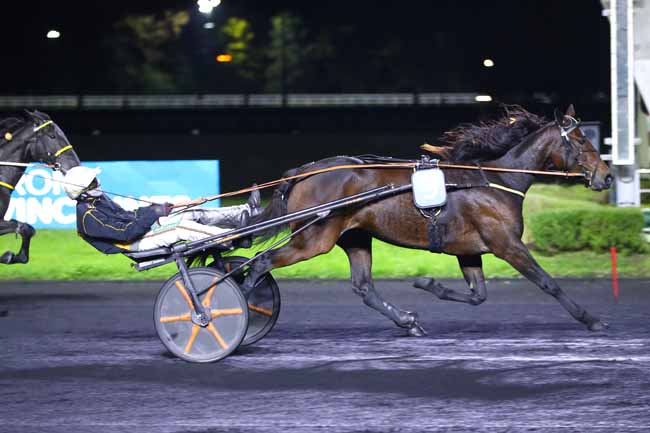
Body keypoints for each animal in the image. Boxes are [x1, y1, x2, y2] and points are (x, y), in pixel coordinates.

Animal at [0, 110, 81, 264]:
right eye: (52, 135)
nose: (75, 165)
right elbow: (25, 228)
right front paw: (8, 256)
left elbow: (28, 229)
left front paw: (11, 256)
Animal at [243, 106, 612, 336]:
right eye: (581, 140)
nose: (607, 177)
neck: (496, 180)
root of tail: (305, 172)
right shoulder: (507, 244)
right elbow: (548, 283)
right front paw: (592, 319)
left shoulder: (469, 250)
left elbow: (478, 296)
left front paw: (428, 284)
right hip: (313, 240)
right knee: (260, 262)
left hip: (354, 236)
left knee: (364, 287)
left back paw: (407, 321)